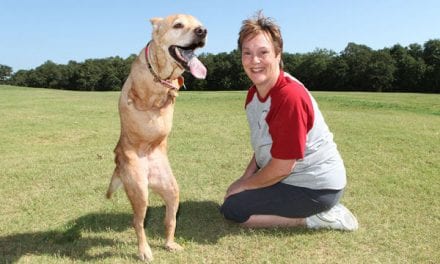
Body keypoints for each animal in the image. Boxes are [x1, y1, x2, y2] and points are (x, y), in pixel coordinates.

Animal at [107, 13, 209, 262]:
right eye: (178, 25)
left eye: (199, 24)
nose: (202, 31)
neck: (161, 73)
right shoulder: (138, 94)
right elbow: (143, 96)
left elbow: (172, 91)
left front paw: (171, 90)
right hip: (139, 191)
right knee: (137, 222)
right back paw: (144, 250)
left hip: (172, 191)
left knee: (169, 220)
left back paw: (170, 244)